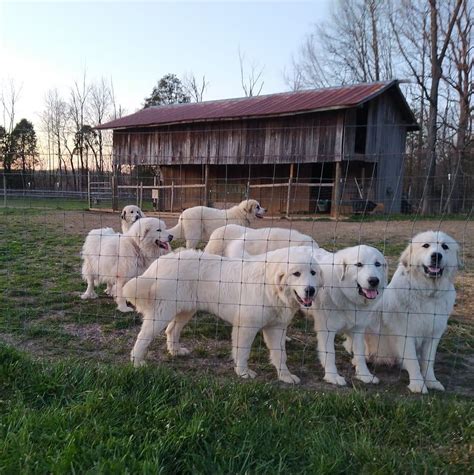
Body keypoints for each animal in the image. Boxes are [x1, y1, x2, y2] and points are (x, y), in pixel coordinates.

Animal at [123, 245, 322, 384]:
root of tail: (163, 260)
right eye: (296, 273)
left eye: (313, 273)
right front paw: (243, 373)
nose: (310, 290)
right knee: (143, 336)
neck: (271, 285)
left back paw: (175, 351)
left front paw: (285, 376)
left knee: (172, 330)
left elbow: (281, 355)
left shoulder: (277, 328)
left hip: (185, 310)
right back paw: (137, 362)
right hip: (162, 313)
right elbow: (243, 352)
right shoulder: (246, 327)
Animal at [312, 245, 388, 386]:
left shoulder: (358, 329)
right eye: (359, 264)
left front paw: (364, 375)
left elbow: (360, 353)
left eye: (377, 264)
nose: (374, 281)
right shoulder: (327, 330)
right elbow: (330, 353)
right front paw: (332, 376)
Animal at [362, 231, 460, 394]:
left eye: (445, 247)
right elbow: (413, 361)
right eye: (426, 245)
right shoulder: (405, 334)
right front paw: (418, 384)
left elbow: (428, 362)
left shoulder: (433, 335)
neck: (427, 294)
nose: (436, 256)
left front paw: (431, 381)